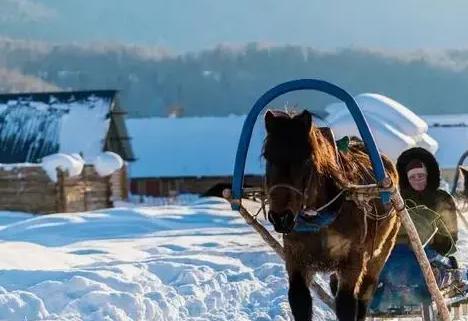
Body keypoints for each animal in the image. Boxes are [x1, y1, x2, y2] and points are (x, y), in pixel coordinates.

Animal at [264, 109, 402, 318]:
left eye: (306, 159)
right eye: (267, 156)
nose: (281, 217)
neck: (320, 220)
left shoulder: (352, 260)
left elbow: (347, 303)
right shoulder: (295, 258)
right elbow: (299, 299)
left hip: (382, 250)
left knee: (365, 293)